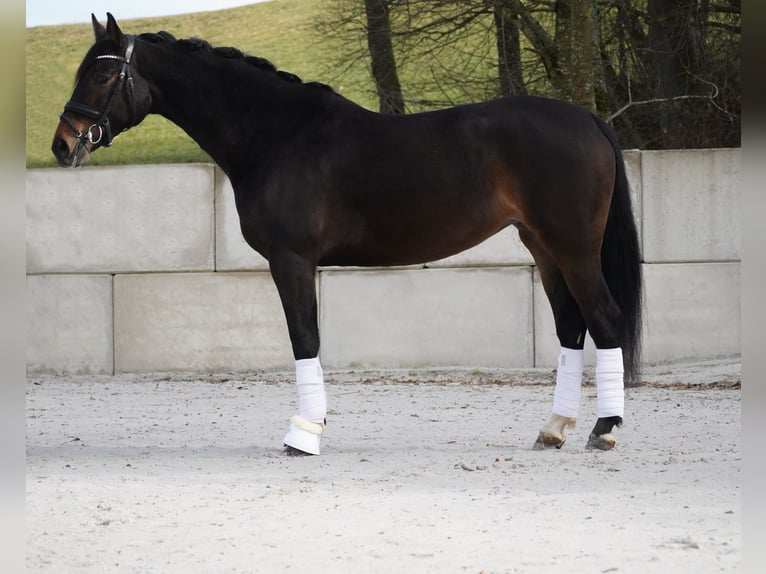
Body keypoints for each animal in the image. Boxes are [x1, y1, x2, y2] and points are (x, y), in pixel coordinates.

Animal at [51, 12, 644, 454]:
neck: (278, 135)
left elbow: (304, 338)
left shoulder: (291, 260)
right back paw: (553, 429)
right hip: (541, 245)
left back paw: (604, 430)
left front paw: (304, 434)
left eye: (101, 77)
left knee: (604, 318)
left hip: (572, 246)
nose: (63, 145)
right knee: (571, 326)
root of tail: (587, 119)